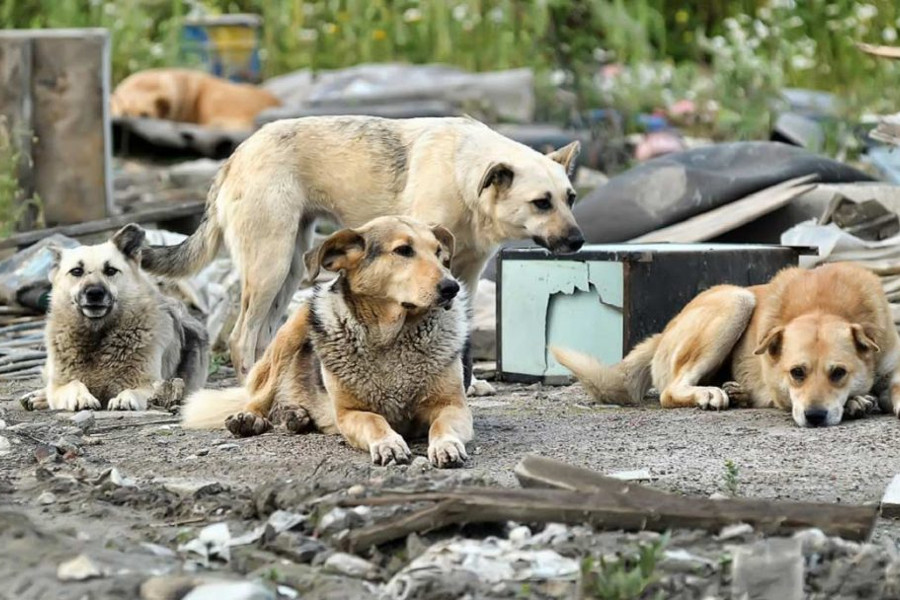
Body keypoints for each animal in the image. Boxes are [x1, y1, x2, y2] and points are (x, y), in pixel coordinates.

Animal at [25, 225, 209, 412]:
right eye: (76, 271)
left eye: (110, 270)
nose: (94, 293)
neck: (97, 335)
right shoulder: (60, 386)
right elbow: (73, 384)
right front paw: (81, 397)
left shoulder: (151, 385)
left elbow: (133, 390)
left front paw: (125, 399)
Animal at [178, 216, 472, 468]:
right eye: (403, 250)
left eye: (439, 253)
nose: (452, 287)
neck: (391, 338)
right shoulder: (350, 413)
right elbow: (375, 421)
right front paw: (388, 442)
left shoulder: (453, 406)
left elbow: (441, 425)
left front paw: (446, 445)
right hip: (295, 326)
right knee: (261, 394)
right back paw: (252, 417)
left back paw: (297, 416)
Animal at [552, 262, 900, 426]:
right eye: (796, 373)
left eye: (838, 372)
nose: (815, 417)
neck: (825, 305)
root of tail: (664, 331)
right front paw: (857, 401)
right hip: (736, 300)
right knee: (669, 391)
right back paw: (709, 394)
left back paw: (738, 392)